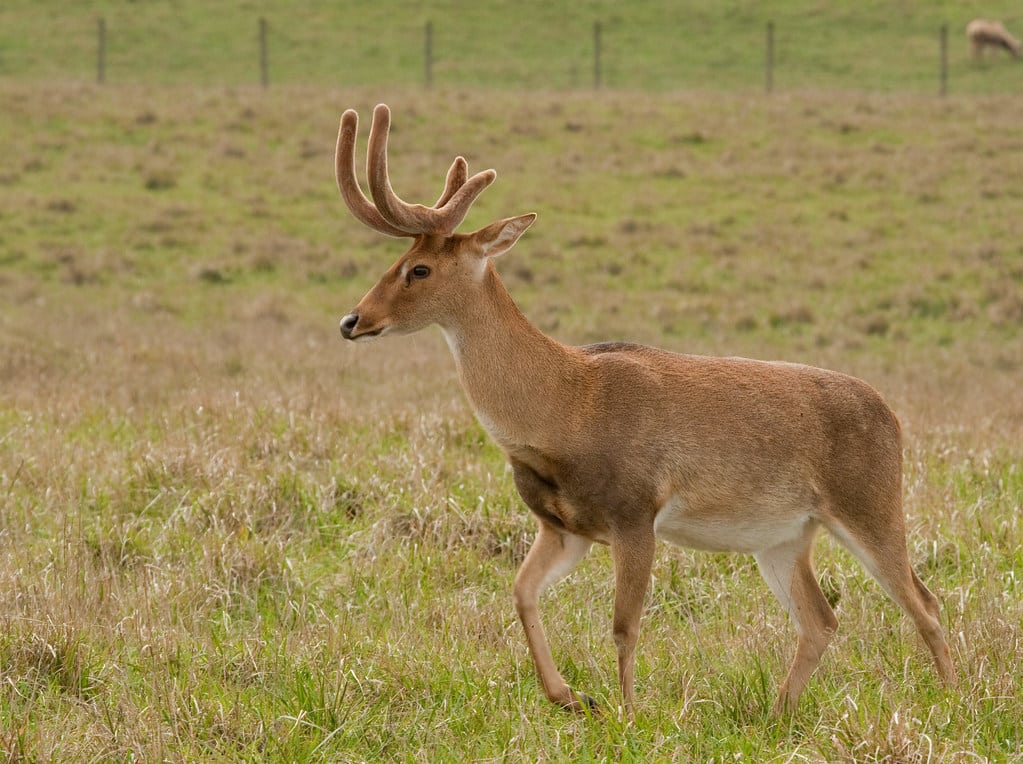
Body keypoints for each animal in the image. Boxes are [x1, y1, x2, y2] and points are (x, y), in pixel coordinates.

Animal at [335, 104, 955, 717]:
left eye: (419, 269)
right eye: (400, 257)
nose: (352, 320)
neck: (564, 408)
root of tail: (893, 417)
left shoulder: (635, 510)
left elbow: (624, 625)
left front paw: (629, 715)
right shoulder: (564, 526)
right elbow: (521, 592)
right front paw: (572, 696)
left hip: (870, 502)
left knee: (923, 601)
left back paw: (954, 698)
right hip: (784, 535)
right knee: (822, 619)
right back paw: (776, 714)